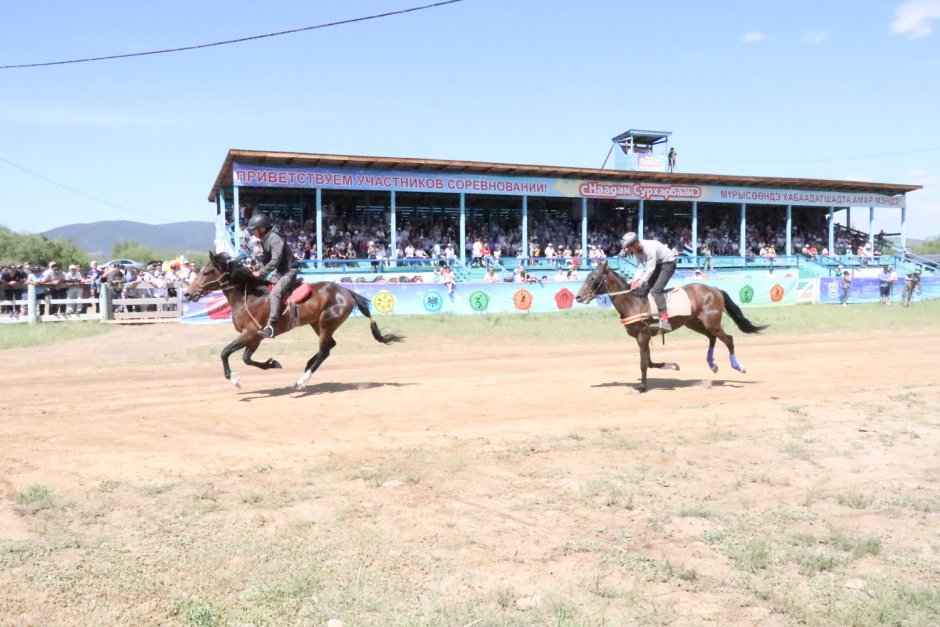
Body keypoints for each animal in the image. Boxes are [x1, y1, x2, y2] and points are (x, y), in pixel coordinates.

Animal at [185, 253, 402, 390]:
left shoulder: (250, 333)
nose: (188, 293)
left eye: (206, 272)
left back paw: (302, 380)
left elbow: (225, 352)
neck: (249, 295)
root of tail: (346, 291)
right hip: (317, 324)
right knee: (329, 346)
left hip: (326, 323)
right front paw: (271, 364)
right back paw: (306, 366)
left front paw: (234, 380)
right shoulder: (255, 337)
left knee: (324, 351)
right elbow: (246, 358)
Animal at [572, 260, 764, 392]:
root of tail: (715, 290)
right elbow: (649, 362)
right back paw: (713, 365)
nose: (578, 297)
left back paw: (739, 367)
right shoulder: (644, 337)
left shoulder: (642, 336)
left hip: (712, 322)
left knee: (728, 339)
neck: (633, 302)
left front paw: (642, 387)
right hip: (695, 323)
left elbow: (644, 364)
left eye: (593, 278)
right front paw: (673, 366)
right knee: (712, 338)